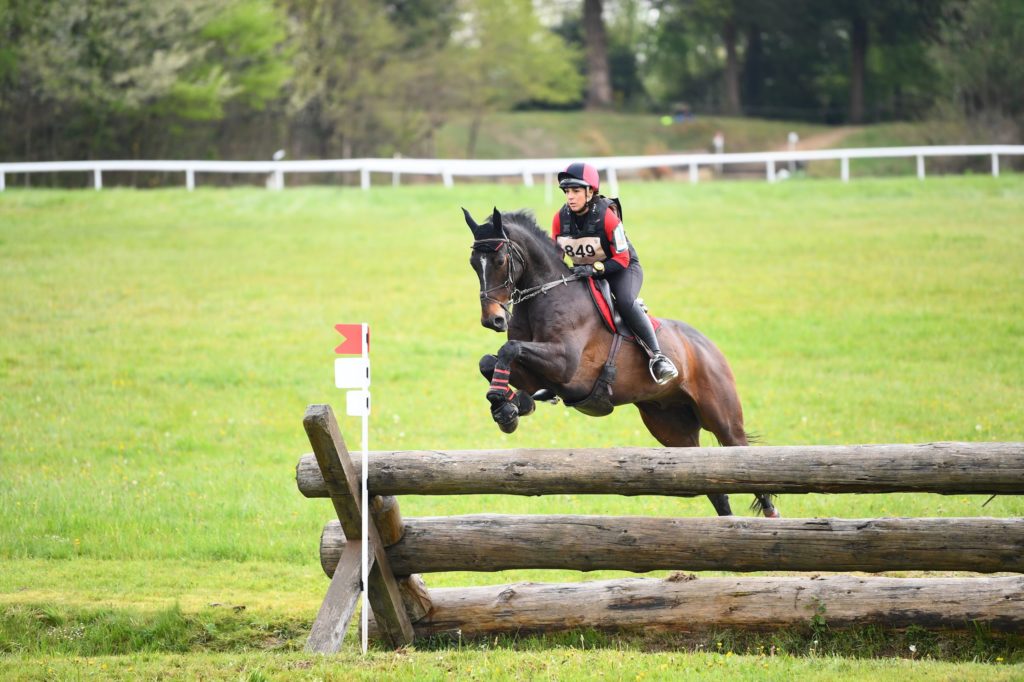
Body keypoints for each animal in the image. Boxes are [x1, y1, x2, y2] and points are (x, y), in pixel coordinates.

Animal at [460, 206, 778, 516]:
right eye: (474, 263)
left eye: (500, 260)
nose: (493, 320)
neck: (546, 294)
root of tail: (707, 346)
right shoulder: (540, 373)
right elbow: (490, 361)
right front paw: (510, 406)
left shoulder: (565, 366)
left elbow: (509, 349)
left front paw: (506, 405)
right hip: (671, 426)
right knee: (715, 489)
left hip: (723, 419)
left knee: (750, 469)